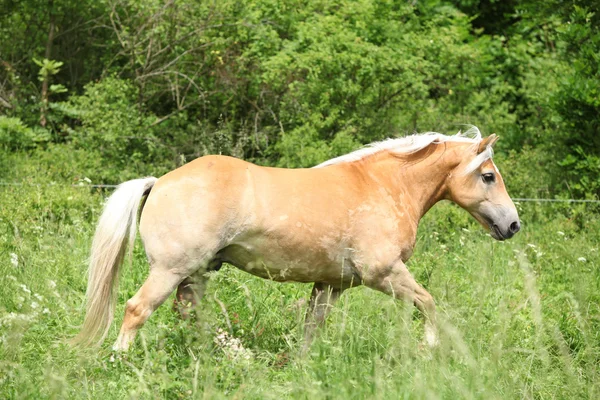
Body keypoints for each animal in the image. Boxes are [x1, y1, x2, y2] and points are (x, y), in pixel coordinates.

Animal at [71, 129, 520, 350]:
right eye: (488, 176)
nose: (513, 225)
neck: (382, 185)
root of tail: (160, 181)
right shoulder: (384, 273)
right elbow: (428, 303)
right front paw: (430, 348)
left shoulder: (331, 285)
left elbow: (311, 329)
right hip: (170, 270)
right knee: (136, 310)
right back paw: (122, 360)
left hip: (195, 274)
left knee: (192, 316)